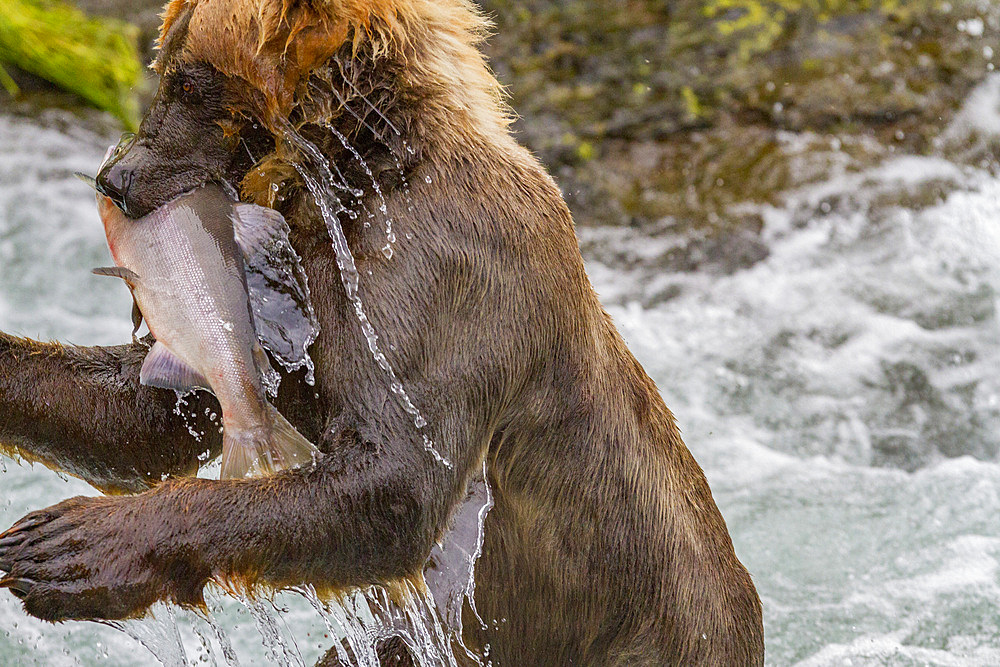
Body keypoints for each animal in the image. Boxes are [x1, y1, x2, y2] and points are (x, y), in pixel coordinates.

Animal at [0, 2, 764, 664]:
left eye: (190, 81)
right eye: (165, 65)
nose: (117, 176)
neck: (364, 176)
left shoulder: (444, 275)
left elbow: (395, 481)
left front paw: (68, 545)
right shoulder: (297, 300)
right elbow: (152, 414)